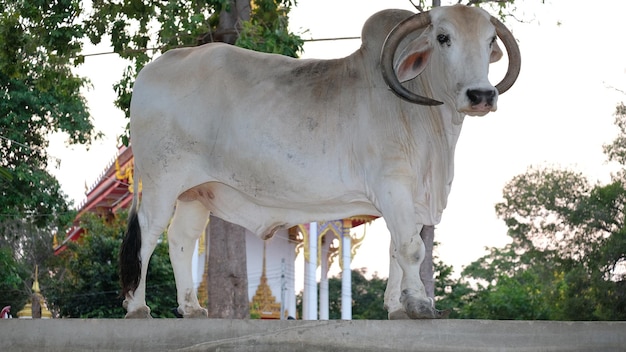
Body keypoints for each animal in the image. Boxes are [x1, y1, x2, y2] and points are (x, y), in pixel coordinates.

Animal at [120, 4, 516, 320]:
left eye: (490, 40)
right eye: (443, 37)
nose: (481, 95)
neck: (418, 110)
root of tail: (152, 69)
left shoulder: (413, 198)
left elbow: (395, 250)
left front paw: (397, 307)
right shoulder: (394, 187)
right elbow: (411, 249)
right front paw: (420, 305)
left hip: (196, 192)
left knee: (180, 239)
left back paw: (191, 307)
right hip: (162, 181)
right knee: (148, 233)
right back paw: (137, 308)